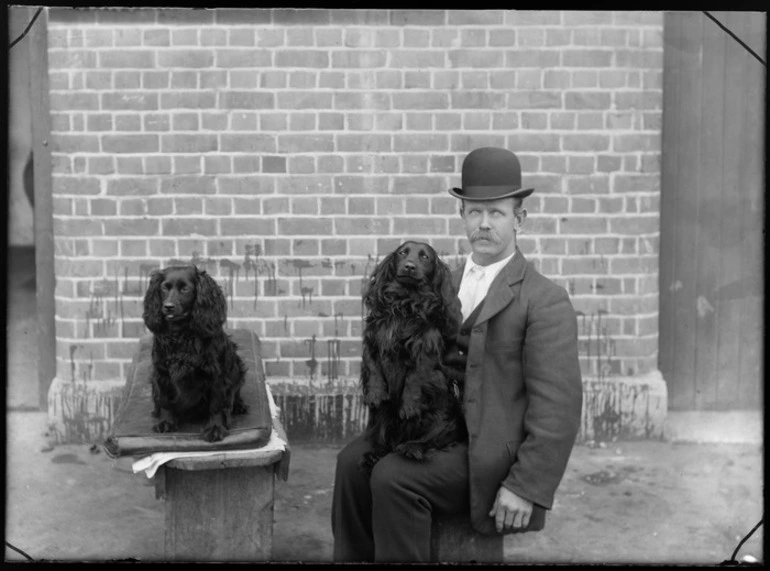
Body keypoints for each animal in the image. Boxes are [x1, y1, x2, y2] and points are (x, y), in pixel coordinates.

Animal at [140, 266, 244, 444]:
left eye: (185, 289)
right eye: (164, 288)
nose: (168, 306)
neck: (181, 333)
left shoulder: (217, 375)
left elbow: (217, 404)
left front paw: (215, 428)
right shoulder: (162, 372)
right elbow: (165, 400)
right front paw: (166, 422)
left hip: (237, 366)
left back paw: (238, 406)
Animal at [358, 241, 464, 474]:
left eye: (425, 257)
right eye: (402, 253)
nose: (409, 266)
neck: (404, 302)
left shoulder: (426, 347)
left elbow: (416, 376)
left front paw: (409, 406)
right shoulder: (372, 338)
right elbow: (372, 367)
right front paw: (375, 393)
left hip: (445, 419)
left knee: (433, 440)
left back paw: (412, 448)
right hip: (383, 415)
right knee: (386, 441)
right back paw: (376, 453)